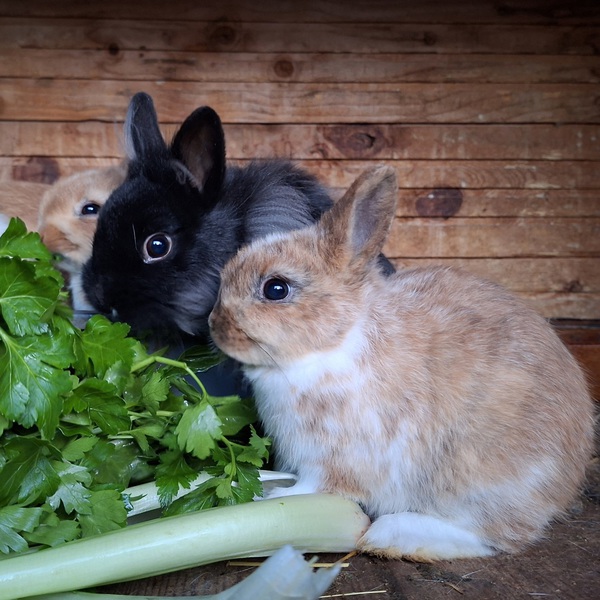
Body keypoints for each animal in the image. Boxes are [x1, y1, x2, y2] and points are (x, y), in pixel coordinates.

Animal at [208, 165, 596, 561]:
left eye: (276, 289)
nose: (214, 325)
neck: (335, 343)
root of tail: (569, 475)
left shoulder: (332, 460)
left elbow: (310, 490)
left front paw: (267, 499)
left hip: (479, 481)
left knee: (499, 537)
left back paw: (390, 535)